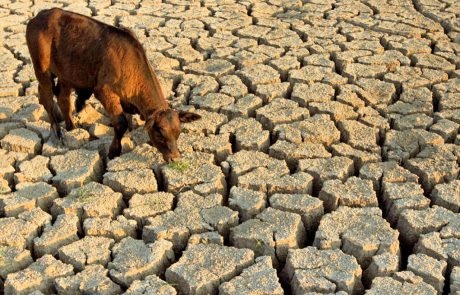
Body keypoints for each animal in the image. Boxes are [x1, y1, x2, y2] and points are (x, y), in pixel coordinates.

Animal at [26, 8, 199, 162]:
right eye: (160, 133)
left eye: (178, 132)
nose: (175, 158)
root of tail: (40, 15)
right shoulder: (104, 91)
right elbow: (121, 123)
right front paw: (114, 151)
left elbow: (127, 120)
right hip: (42, 68)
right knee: (47, 96)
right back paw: (57, 132)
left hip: (66, 72)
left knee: (63, 98)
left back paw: (71, 127)